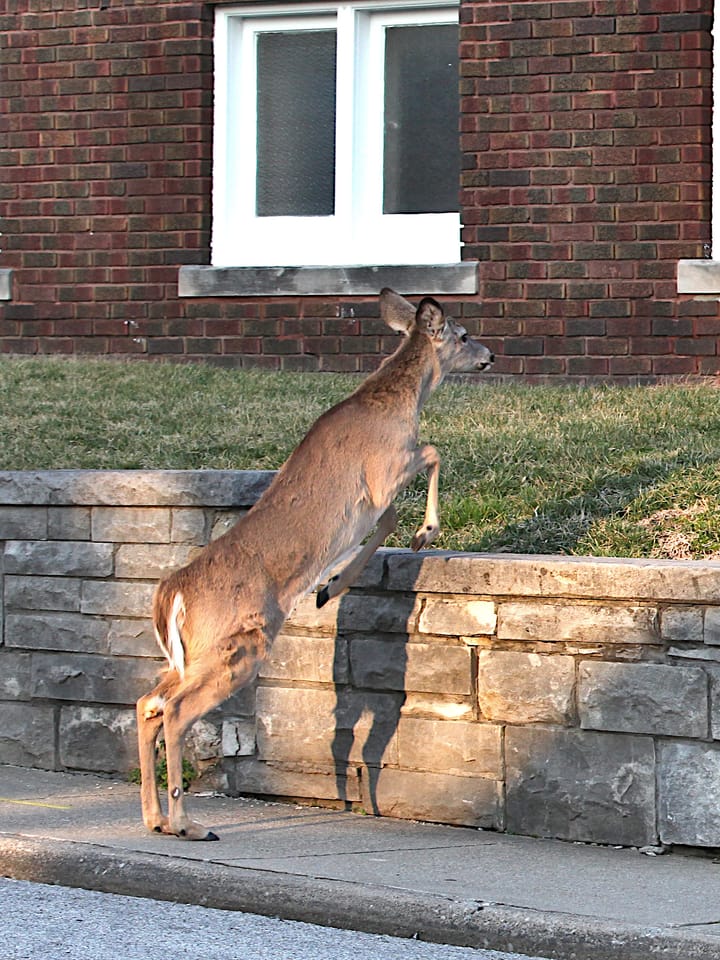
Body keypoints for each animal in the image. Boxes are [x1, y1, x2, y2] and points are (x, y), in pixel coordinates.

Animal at [136, 286, 496, 840]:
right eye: (461, 334)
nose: (489, 355)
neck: (397, 404)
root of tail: (169, 596)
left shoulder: (375, 494)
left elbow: (387, 518)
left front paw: (332, 585)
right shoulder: (385, 467)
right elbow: (433, 454)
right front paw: (424, 533)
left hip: (191, 654)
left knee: (147, 703)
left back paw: (154, 818)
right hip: (236, 647)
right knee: (173, 711)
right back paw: (187, 824)